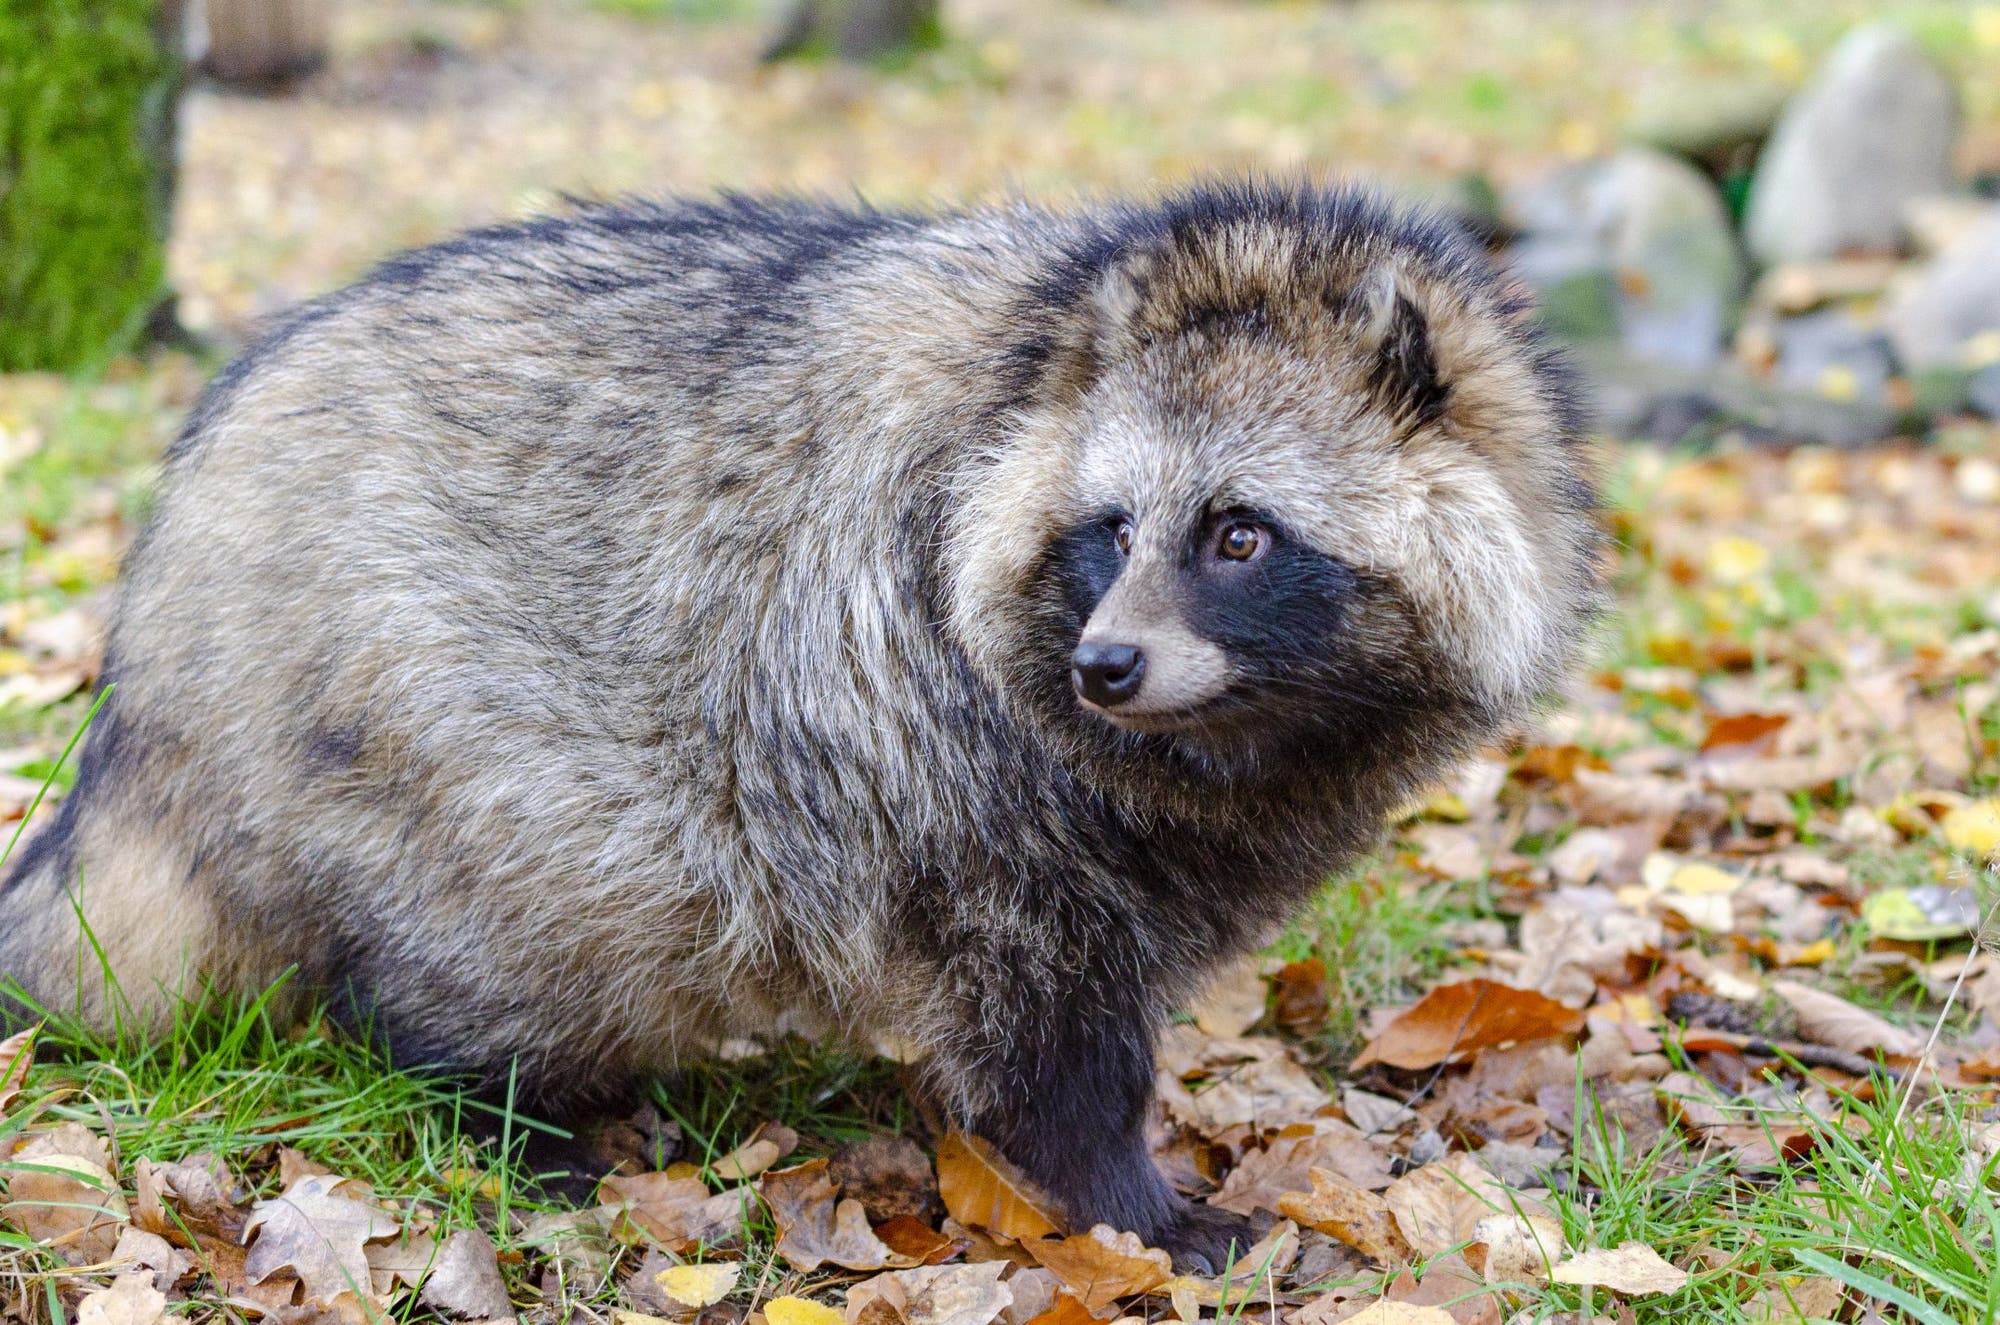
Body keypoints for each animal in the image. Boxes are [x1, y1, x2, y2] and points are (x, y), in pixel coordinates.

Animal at [0, 184, 1592, 1264]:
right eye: (1114, 528)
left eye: (1239, 536)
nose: (1106, 665)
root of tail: (155, 636)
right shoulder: (961, 767)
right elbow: (1051, 1026)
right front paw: (1121, 1198)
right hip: (421, 718)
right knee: (500, 921)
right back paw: (508, 1112)